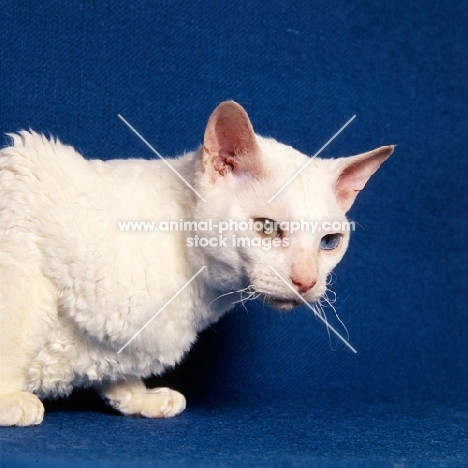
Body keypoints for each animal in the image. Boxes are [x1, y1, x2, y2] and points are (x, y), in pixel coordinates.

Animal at [0, 101, 394, 424]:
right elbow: (15, 338)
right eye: (267, 228)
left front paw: (137, 396)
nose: (306, 282)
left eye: (329, 242)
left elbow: (114, 360)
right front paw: (8, 400)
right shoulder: (23, 245)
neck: (199, 291)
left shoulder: (121, 339)